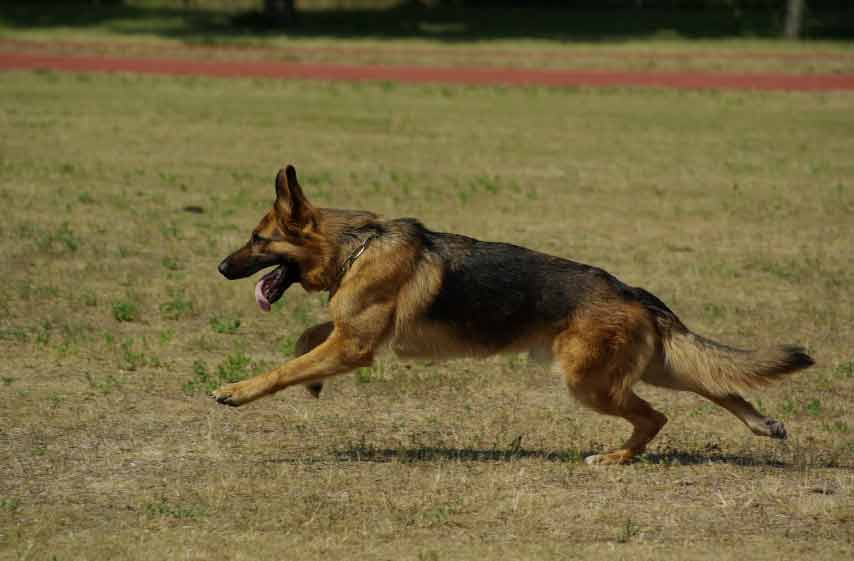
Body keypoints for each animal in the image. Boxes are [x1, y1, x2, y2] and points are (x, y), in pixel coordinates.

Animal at [214, 165, 816, 464]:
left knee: (656, 417)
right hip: (647, 366)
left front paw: (238, 391)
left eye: (257, 240)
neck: (356, 245)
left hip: (590, 383)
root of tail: (633, 292)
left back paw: (616, 458)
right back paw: (761, 424)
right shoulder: (348, 336)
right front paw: (311, 382)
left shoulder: (354, 346)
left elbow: (286, 368)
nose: (220, 267)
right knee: (716, 383)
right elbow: (307, 340)